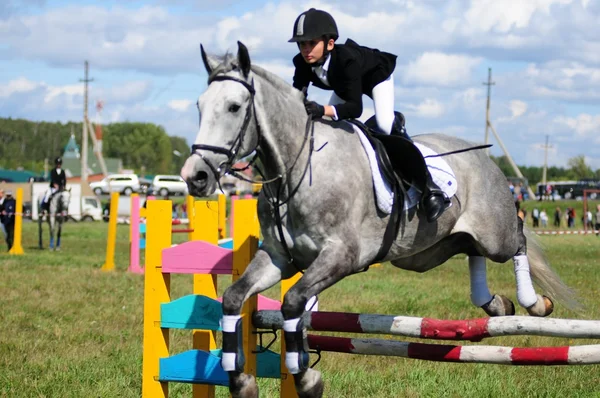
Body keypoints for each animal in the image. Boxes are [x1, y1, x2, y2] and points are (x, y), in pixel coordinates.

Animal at [180, 42, 580, 396]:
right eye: (199, 105)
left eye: (234, 107)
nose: (195, 176)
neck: (298, 166)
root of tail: (485, 159)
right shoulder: (279, 258)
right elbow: (233, 298)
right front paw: (241, 382)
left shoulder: (341, 257)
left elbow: (292, 302)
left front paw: (308, 380)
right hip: (427, 253)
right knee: (471, 252)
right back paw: (496, 304)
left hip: (494, 234)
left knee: (518, 240)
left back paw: (534, 303)